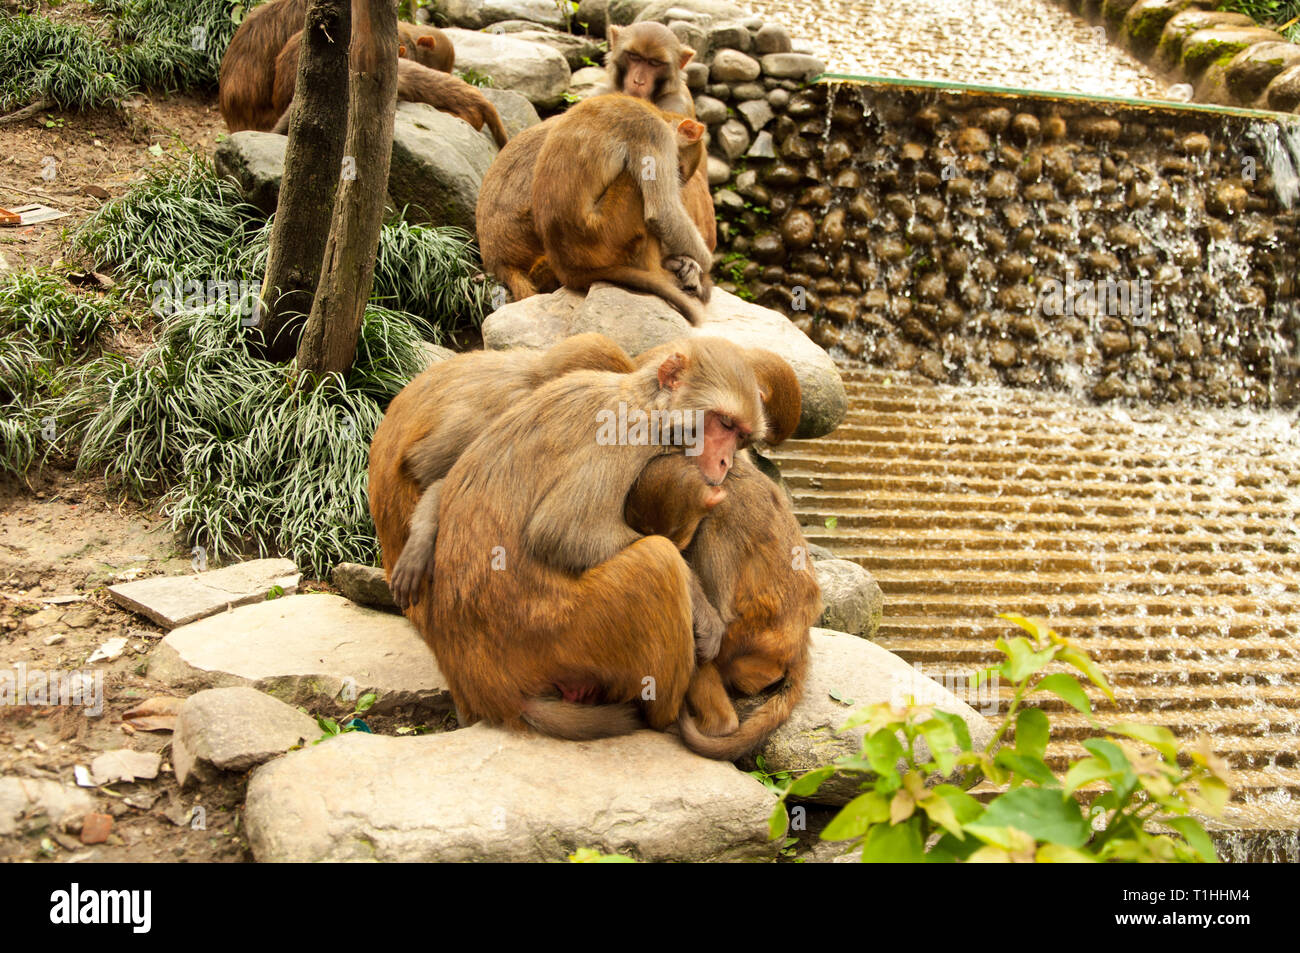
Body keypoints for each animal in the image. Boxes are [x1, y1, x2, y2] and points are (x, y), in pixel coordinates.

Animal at [370, 337, 766, 741]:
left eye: (740, 436)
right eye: (724, 423)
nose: (726, 462)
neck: (645, 404)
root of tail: (489, 689)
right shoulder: (626, 432)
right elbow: (561, 532)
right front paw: (703, 607)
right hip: (560, 634)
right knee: (657, 561)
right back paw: (663, 719)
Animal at [533, 95, 713, 324]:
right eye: (678, 168)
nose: (679, 182)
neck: (658, 113)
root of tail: (565, 268)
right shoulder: (654, 134)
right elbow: (663, 212)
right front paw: (706, 264)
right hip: (604, 235)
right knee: (634, 181)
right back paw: (661, 274)